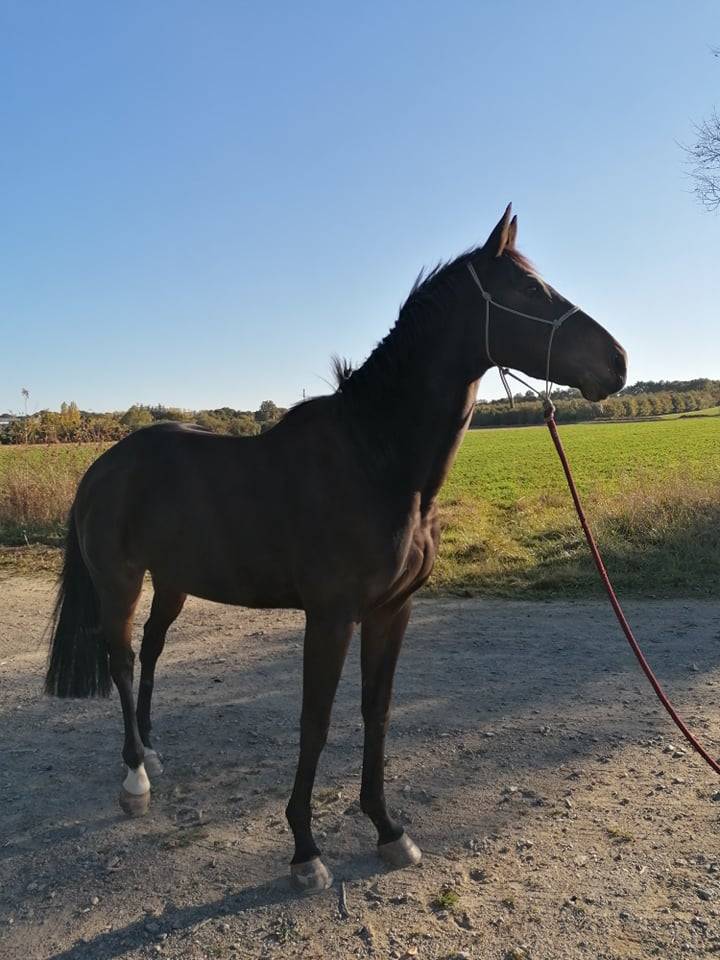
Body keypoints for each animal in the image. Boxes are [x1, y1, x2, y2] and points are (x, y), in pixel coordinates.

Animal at [45, 205, 627, 892]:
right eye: (531, 292)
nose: (618, 362)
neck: (377, 460)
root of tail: (101, 467)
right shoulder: (329, 617)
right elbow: (316, 722)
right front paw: (305, 849)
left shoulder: (391, 612)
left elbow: (377, 712)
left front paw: (388, 830)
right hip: (120, 582)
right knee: (121, 657)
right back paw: (135, 777)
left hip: (174, 582)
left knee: (152, 653)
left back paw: (153, 753)